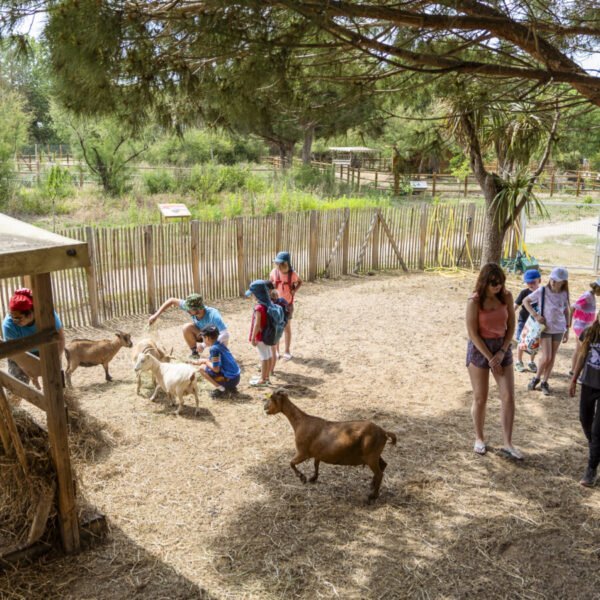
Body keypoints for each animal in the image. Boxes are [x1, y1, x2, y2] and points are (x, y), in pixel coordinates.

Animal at [264, 386, 396, 500]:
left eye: (271, 398)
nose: (264, 408)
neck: (301, 422)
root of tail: (384, 432)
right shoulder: (317, 453)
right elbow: (316, 464)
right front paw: (313, 478)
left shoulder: (303, 452)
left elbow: (291, 463)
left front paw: (302, 478)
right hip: (375, 455)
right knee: (383, 465)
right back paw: (372, 485)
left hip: (371, 456)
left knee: (380, 473)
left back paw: (372, 496)